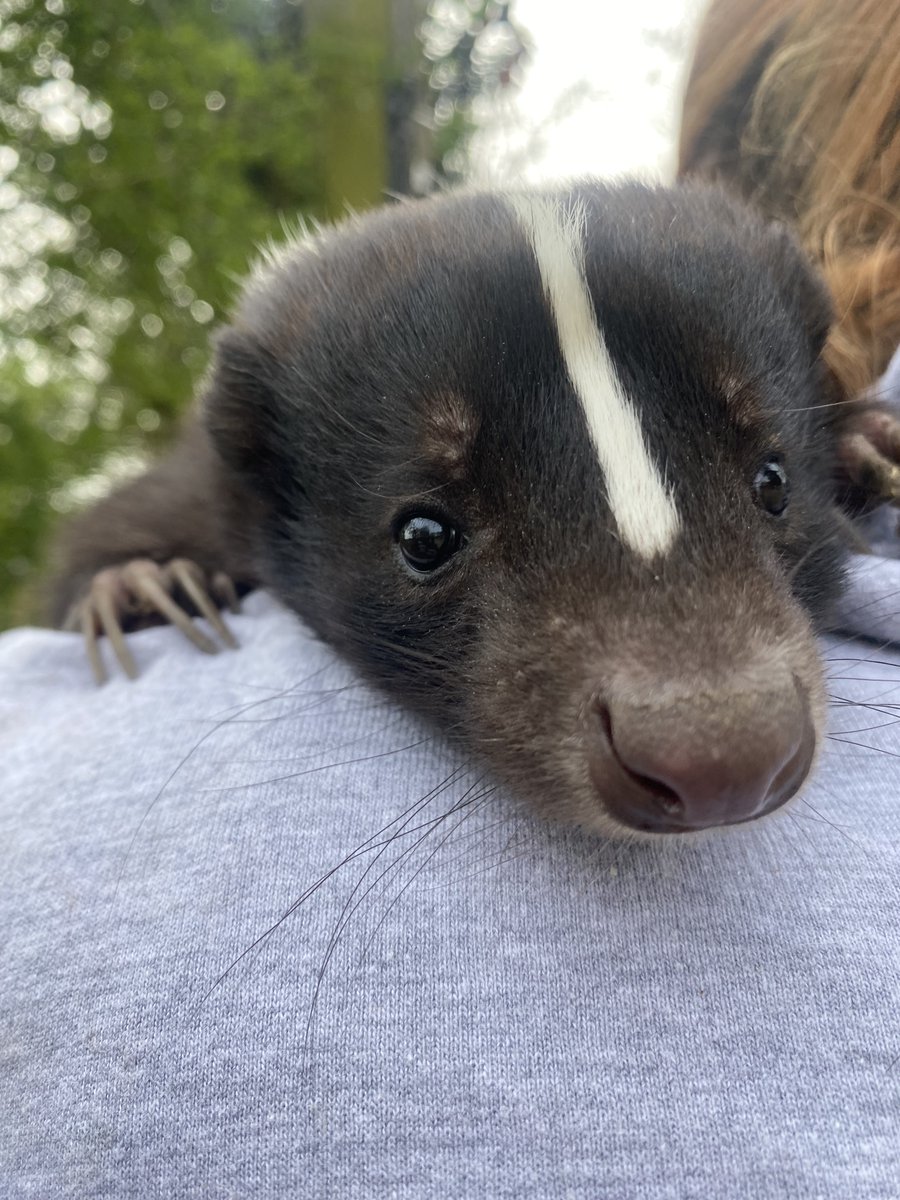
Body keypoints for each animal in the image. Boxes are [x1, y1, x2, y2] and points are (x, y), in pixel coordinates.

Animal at [51, 184, 900, 835]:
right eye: (423, 536)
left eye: (773, 482)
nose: (721, 754)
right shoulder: (202, 481)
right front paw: (143, 583)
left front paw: (867, 441)